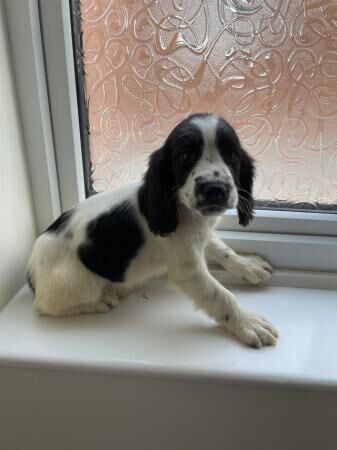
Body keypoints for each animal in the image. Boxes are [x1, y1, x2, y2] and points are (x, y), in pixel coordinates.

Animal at [26, 112, 278, 348]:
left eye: (232, 156)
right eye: (185, 156)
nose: (214, 189)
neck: (183, 209)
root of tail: (32, 272)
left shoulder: (201, 234)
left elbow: (221, 249)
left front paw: (248, 265)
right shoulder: (188, 271)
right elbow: (221, 296)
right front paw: (248, 323)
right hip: (75, 283)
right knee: (46, 306)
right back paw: (100, 300)